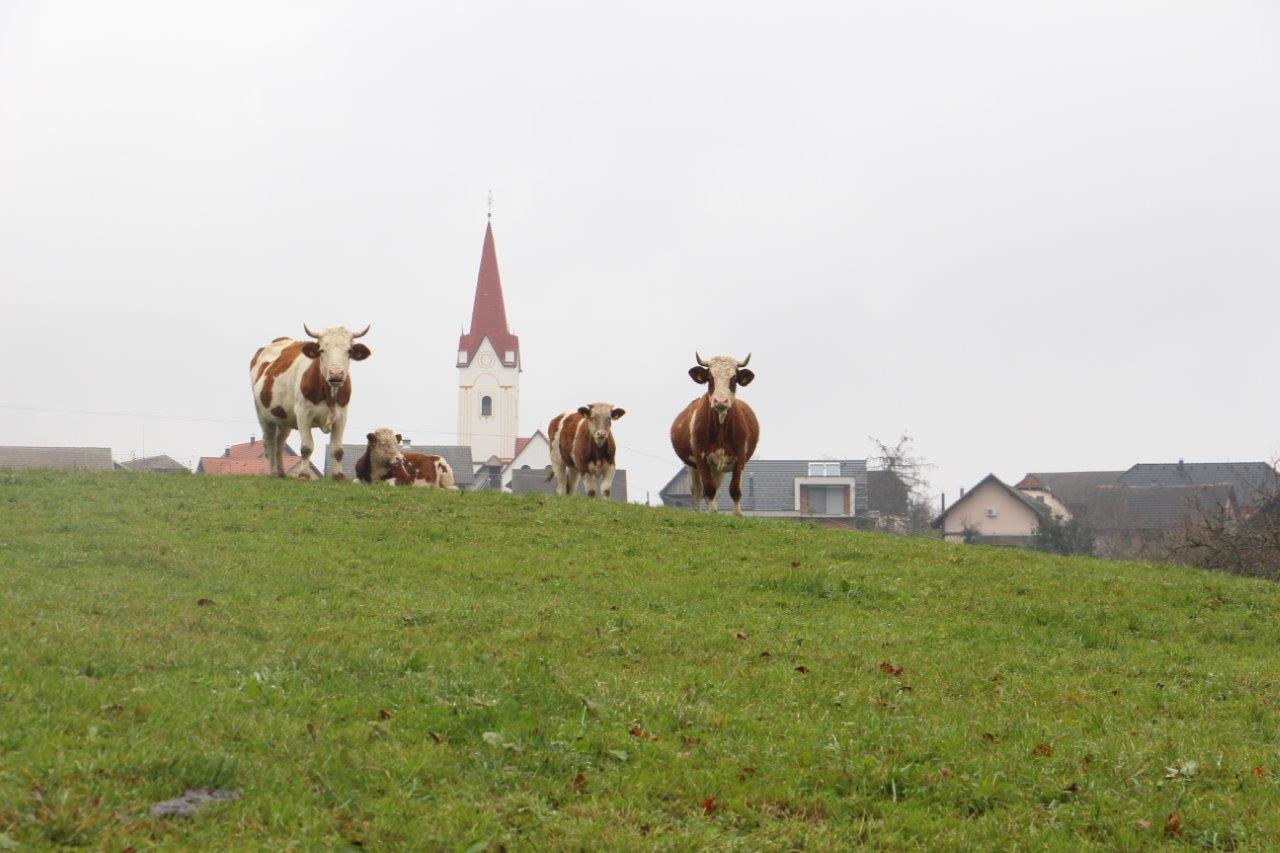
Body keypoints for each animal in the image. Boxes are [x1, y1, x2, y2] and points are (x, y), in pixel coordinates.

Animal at [248, 322, 371, 479]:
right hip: (263, 414)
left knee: (280, 443)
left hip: (284, 417)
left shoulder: (342, 416)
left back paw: (281, 473)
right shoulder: (303, 414)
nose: (336, 374)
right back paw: (272, 473)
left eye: (349, 351)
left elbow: (338, 450)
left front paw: (338, 476)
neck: (329, 394)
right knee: (269, 441)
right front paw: (304, 475)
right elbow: (306, 447)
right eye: (322, 350)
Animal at [670, 350, 757, 512]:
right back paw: (699, 511)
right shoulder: (701, 457)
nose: (720, 401)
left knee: (718, 489)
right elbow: (709, 489)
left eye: (734, 378)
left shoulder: (740, 457)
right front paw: (711, 513)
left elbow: (735, 490)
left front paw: (737, 514)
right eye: (710, 377)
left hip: (719, 467)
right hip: (693, 466)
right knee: (697, 490)